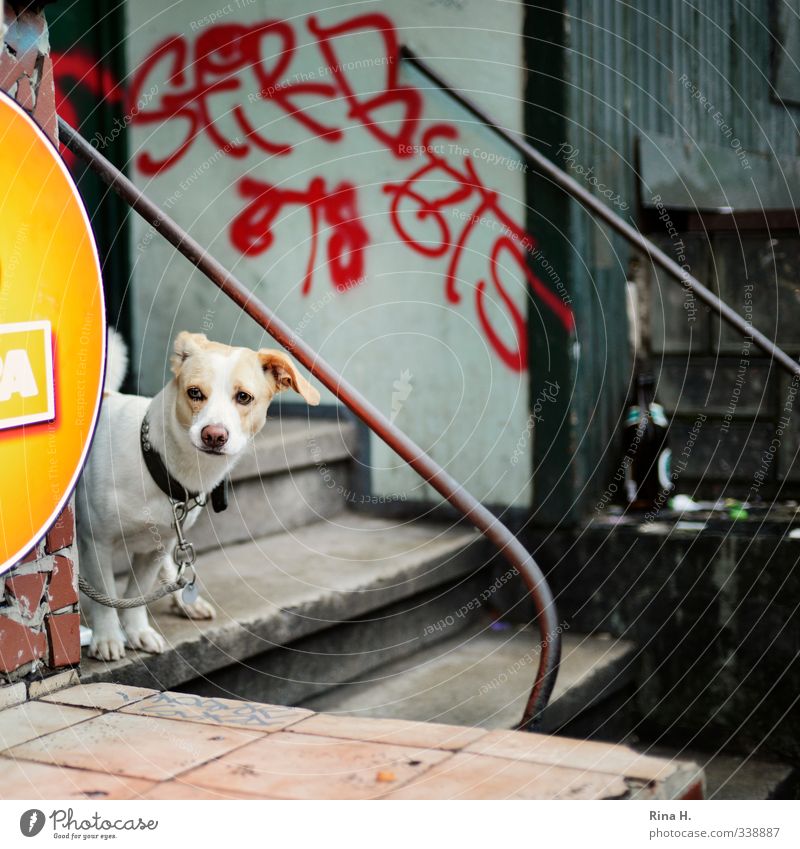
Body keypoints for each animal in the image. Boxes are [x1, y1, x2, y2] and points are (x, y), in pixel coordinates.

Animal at [77, 332, 318, 664]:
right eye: (194, 393)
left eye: (244, 397)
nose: (213, 435)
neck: (159, 465)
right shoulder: (94, 541)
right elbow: (105, 597)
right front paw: (108, 636)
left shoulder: (157, 544)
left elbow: (137, 592)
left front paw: (137, 630)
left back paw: (183, 600)